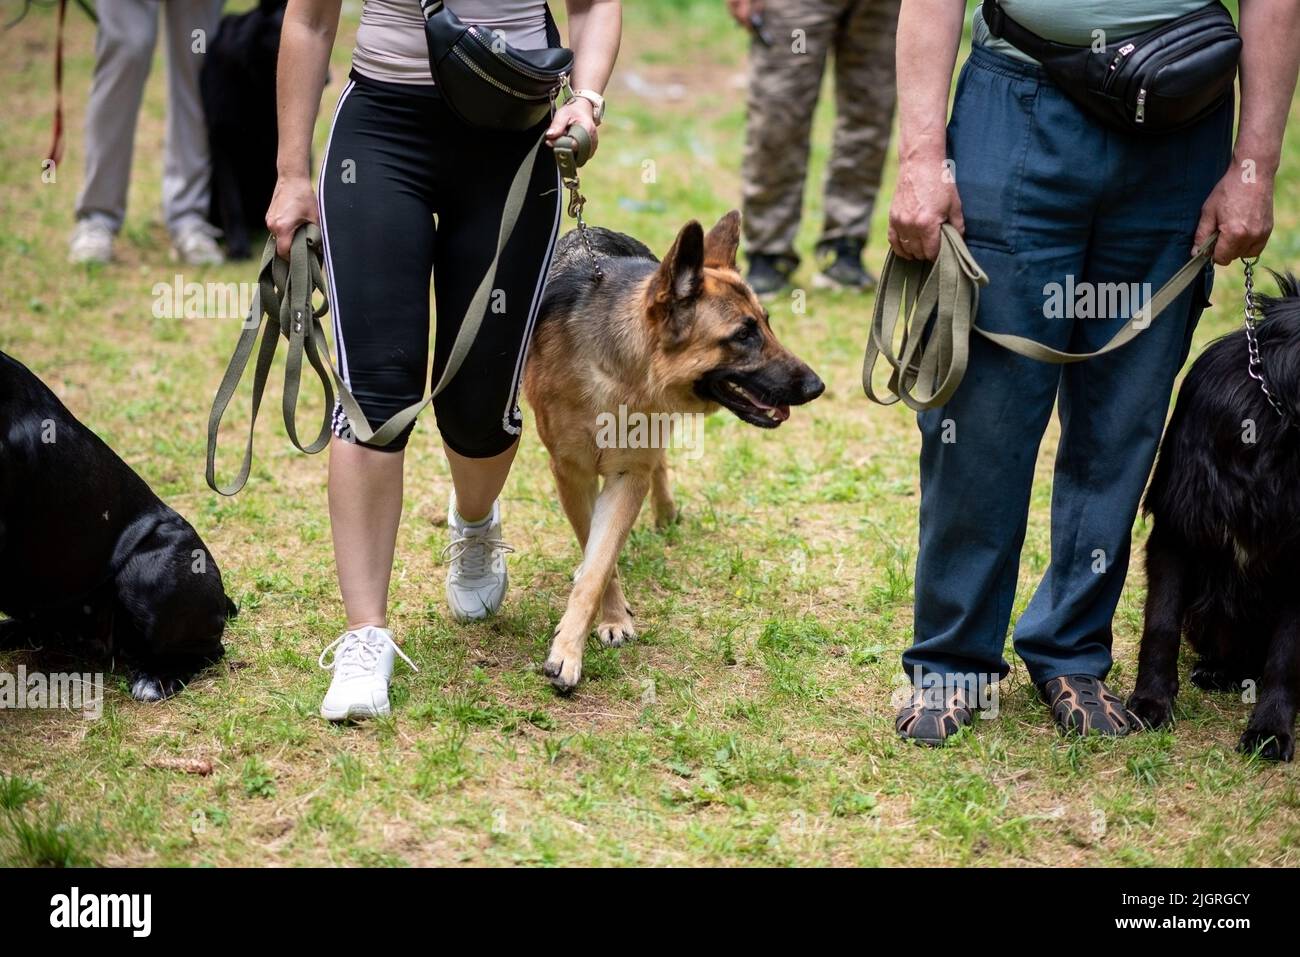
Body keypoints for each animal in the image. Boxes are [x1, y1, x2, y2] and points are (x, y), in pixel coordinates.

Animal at [520, 210, 816, 686]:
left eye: (767, 324)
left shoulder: (628, 475)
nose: (816, 386)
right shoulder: (572, 474)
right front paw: (598, 625)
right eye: (743, 335)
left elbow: (600, 565)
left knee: (658, 466)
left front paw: (584, 635)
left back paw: (664, 512)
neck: (619, 372)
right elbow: (597, 557)